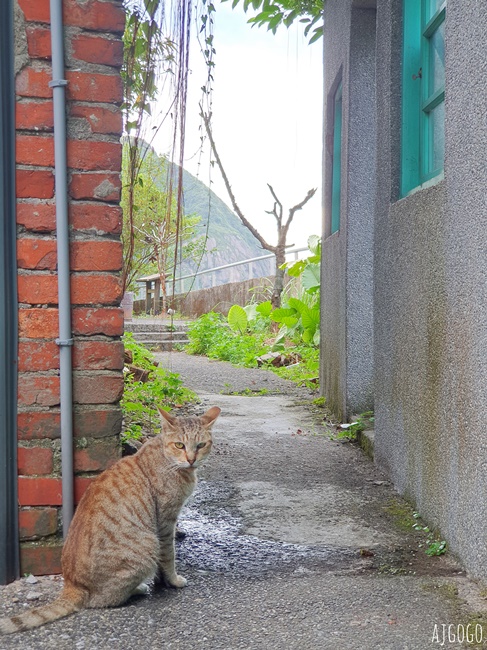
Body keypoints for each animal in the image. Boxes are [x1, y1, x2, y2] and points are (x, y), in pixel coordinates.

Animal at [0, 404, 221, 632]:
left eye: (201, 445)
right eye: (179, 445)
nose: (191, 459)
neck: (167, 459)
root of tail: (71, 585)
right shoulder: (166, 522)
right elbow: (169, 556)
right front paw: (173, 580)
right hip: (148, 545)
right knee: (104, 600)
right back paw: (139, 589)